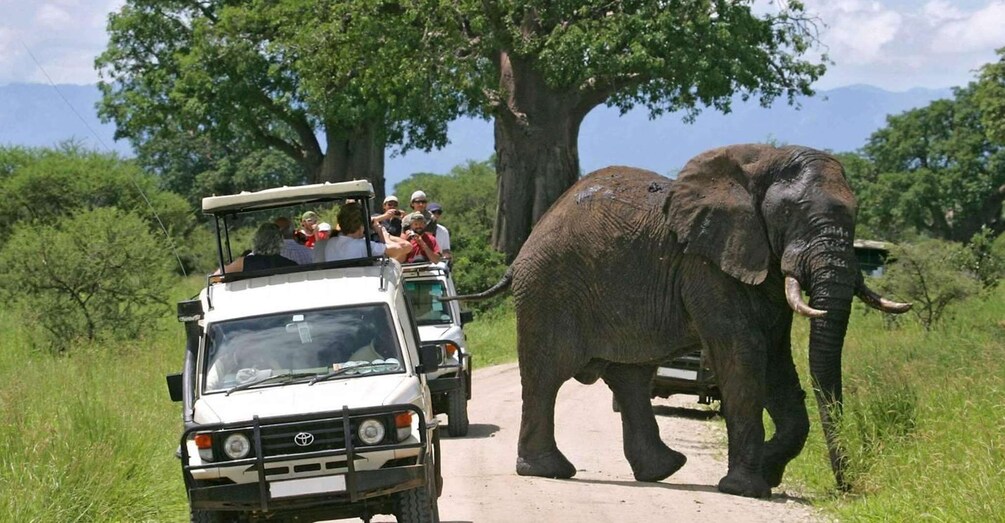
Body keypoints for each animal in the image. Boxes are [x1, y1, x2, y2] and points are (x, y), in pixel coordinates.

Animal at [448, 143, 912, 498]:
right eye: (790, 214)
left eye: (856, 214)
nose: (845, 488)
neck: (761, 163)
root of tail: (525, 247)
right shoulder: (705, 265)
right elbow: (744, 354)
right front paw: (747, 488)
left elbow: (777, 360)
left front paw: (767, 470)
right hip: (548, 291)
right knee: (547, 375)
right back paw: (549, 471)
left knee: (630, 378)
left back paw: (663, 470)